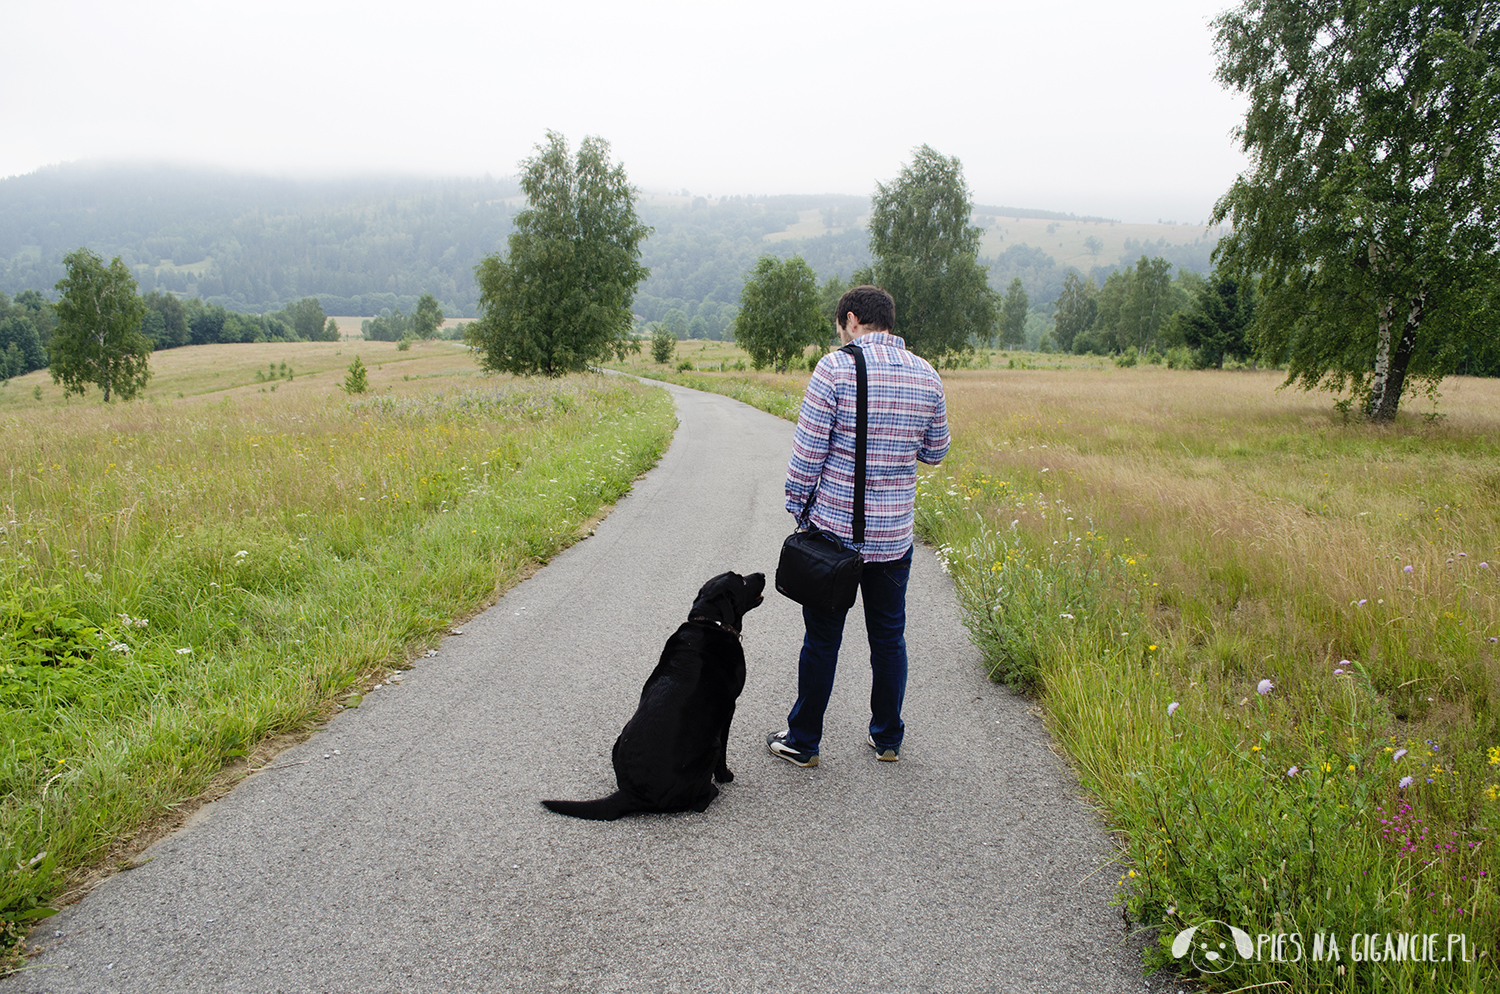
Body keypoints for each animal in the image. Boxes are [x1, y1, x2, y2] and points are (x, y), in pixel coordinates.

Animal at [546, 572, 768, 821]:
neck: (711, 622)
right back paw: (712, 790)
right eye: (742, 581)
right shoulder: (729, 708)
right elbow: (724, 754)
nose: (762, 574)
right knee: (699, 801)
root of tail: (632, 794)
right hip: (712, 745)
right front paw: (725, 776)